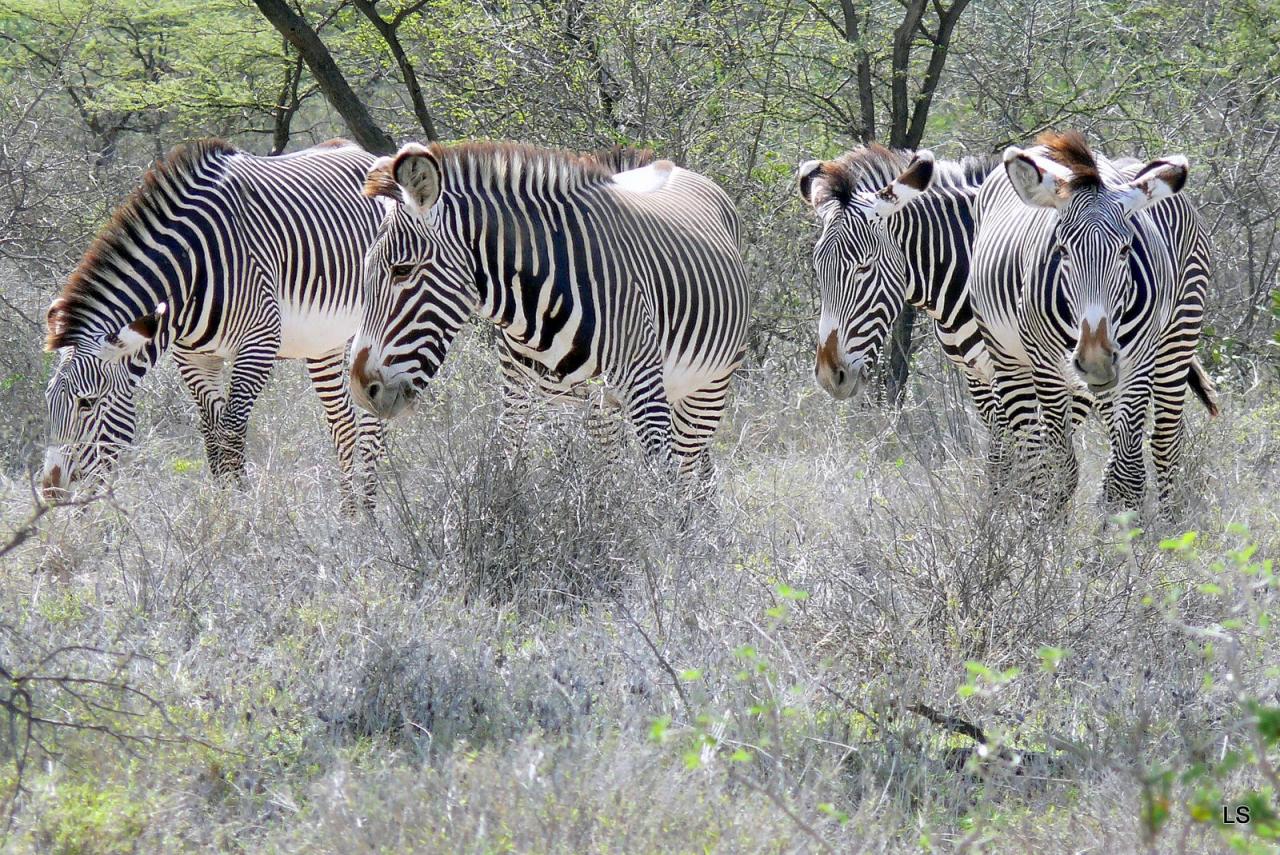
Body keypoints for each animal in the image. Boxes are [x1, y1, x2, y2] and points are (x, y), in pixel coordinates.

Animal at [42, 139, 386, 511]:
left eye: (87, 403)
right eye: (48, 400)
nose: (51, 492)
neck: (190, 271)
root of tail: (362, 152)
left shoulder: (258, 345)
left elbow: (231, 432)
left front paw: (241, 511)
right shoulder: (194, 358)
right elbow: (211, 435)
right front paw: (223, 509)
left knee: (371, 421)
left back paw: (370, 510)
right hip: (324, 343)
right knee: (343, 422)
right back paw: (349, 513)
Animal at [350, 138, 747, 473]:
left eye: (402, 270)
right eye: (365, 268)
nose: (360, 390)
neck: (535, 310)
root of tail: (674, 166)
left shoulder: (645, 390)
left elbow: (658, 492)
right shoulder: (521, 398)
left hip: (707, 387)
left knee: (688, 470)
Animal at [962, 130, 1213, 511]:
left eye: (1126, 249)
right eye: (1061, 250)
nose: (1095, 358)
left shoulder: (1138, 364)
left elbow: (1128, 474)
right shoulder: (1046, 368)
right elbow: (1058, 471)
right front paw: (1045, 529)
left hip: (1178, 335)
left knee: (1165, 444)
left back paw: (1168, 519)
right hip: (1009, 360)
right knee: (1032, 456)